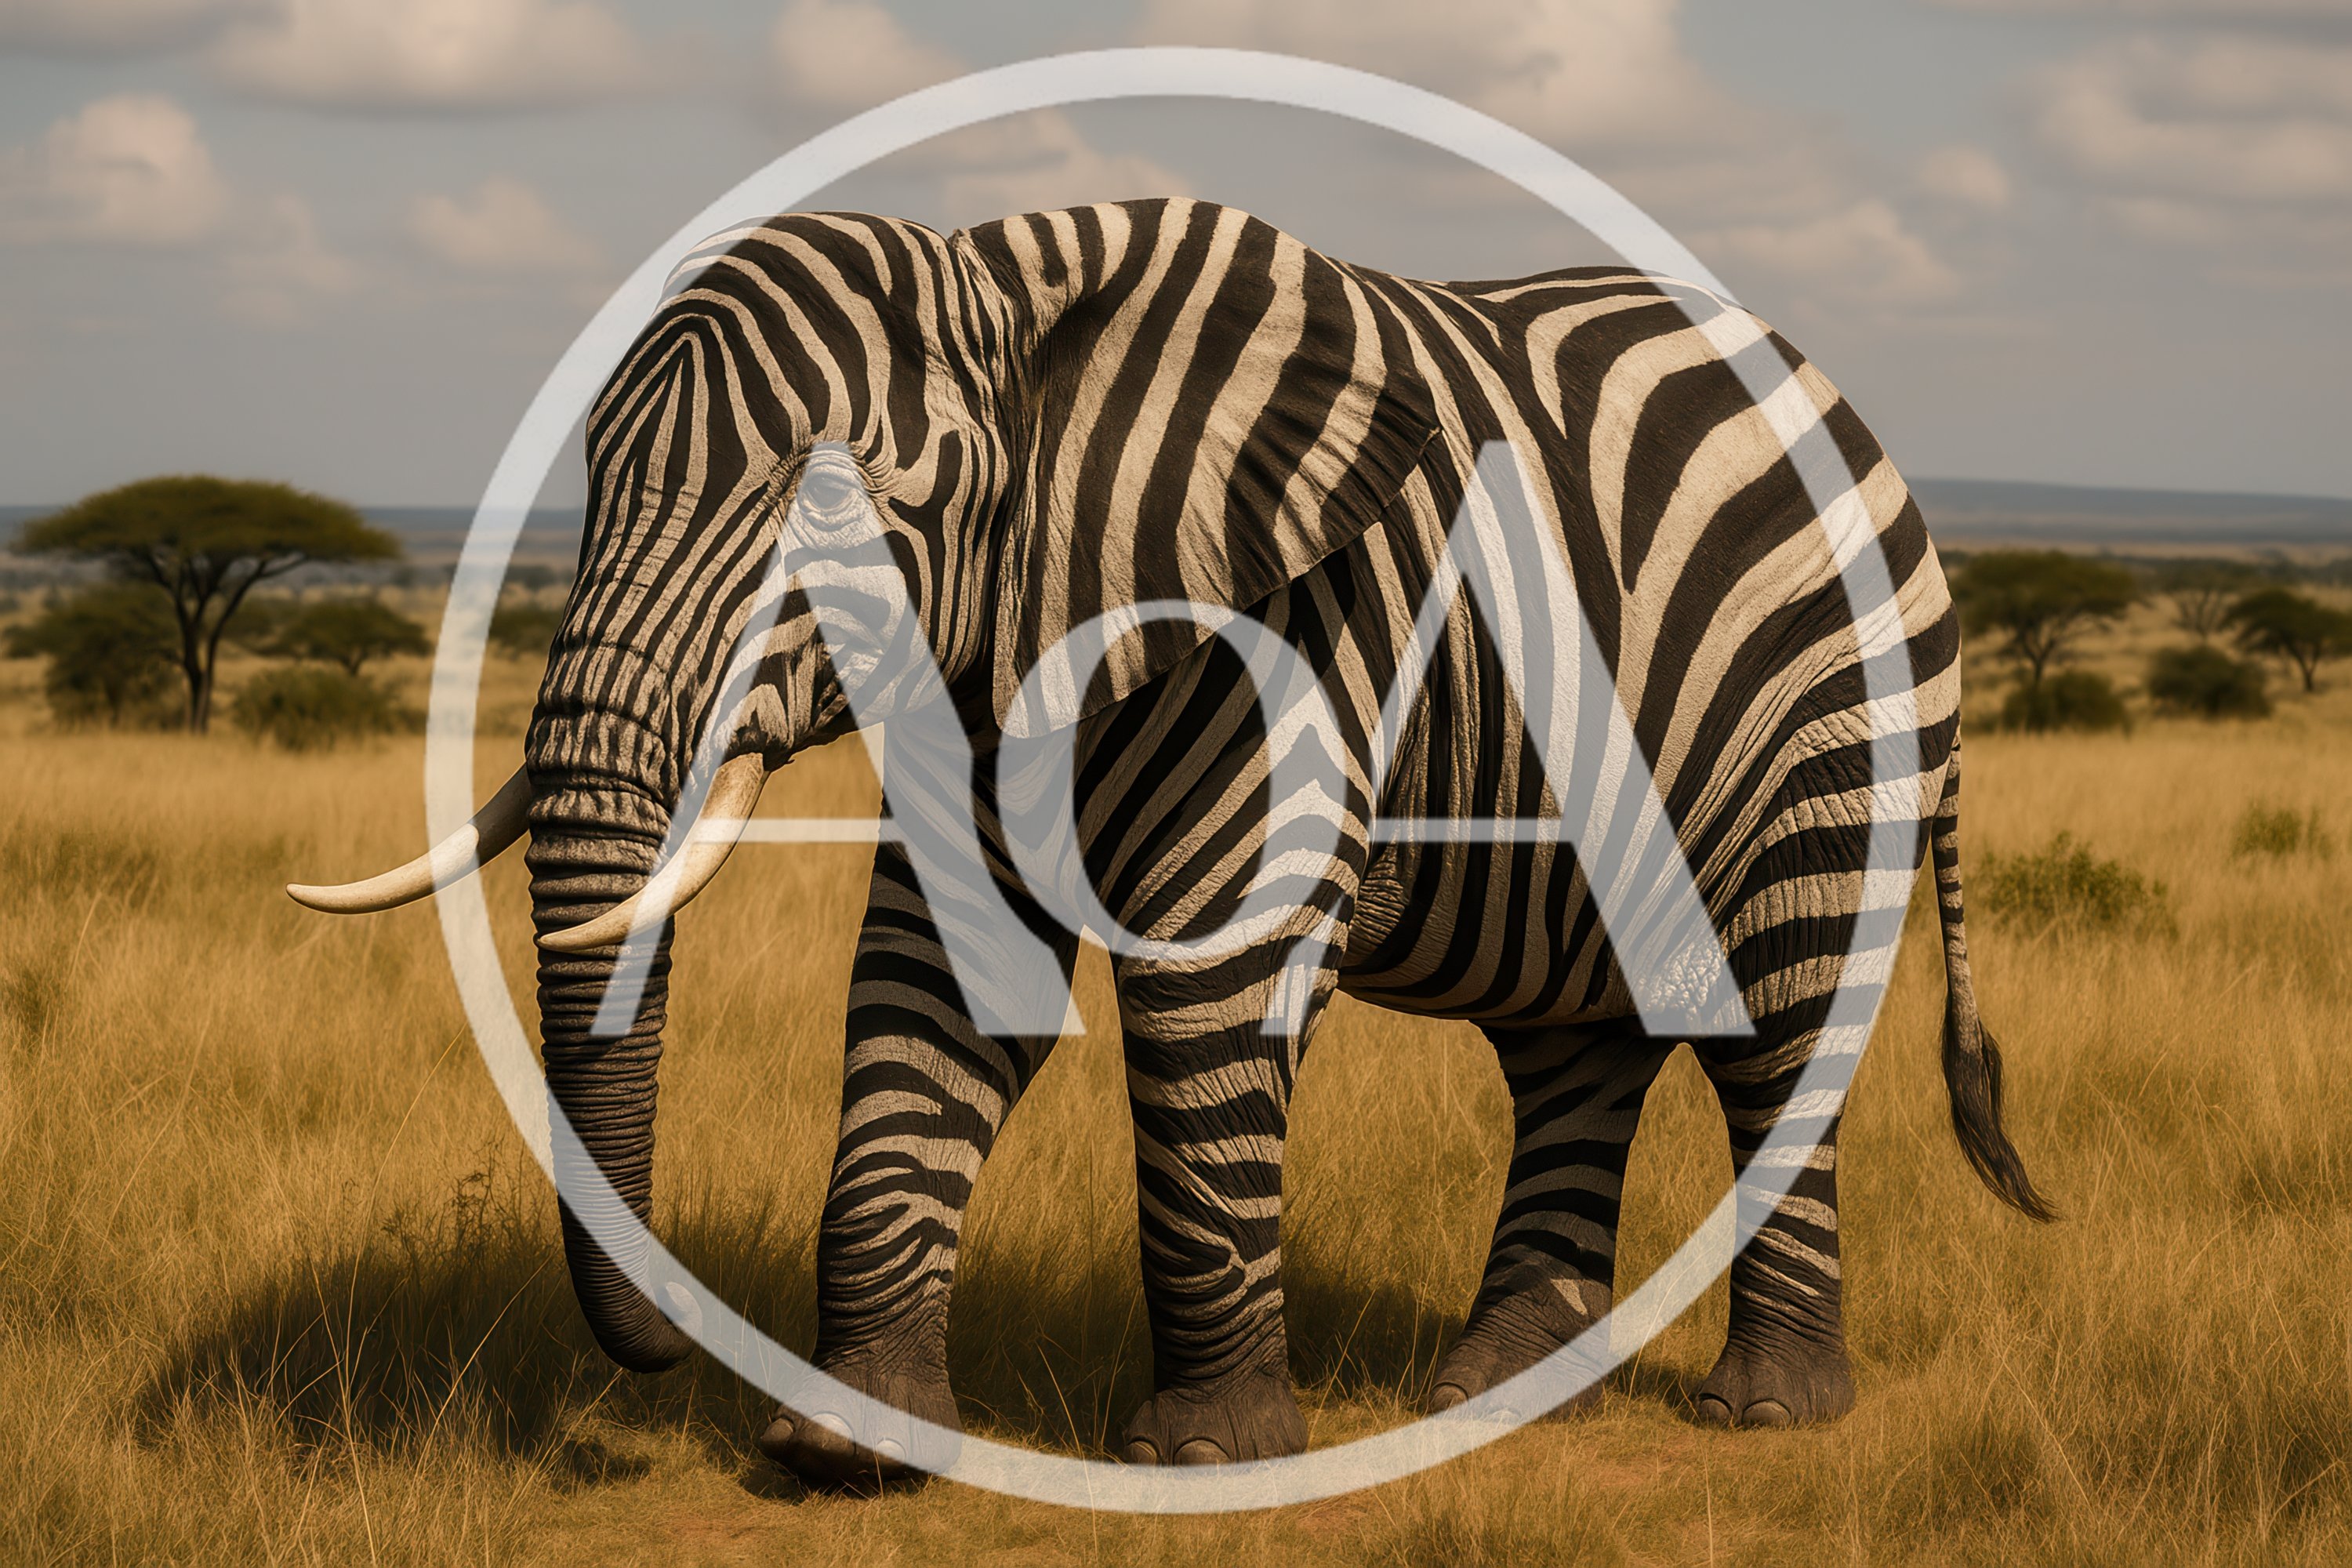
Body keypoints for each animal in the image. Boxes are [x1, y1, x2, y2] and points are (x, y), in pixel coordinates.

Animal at [289, 197, 2049, 1482]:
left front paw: (1204, 1460)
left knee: (1778, 1023)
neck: (1015, 307)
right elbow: (933, 999)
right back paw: (1486, 1397)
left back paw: (1767, 1414)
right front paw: (845, 1448)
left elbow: (1208, 1003)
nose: (660, 1350)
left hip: (1836, 716)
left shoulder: (1299, 641)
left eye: (843, 502)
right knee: (1577, 1046)